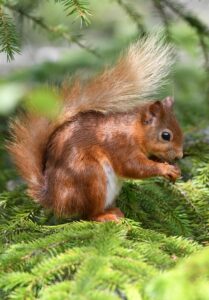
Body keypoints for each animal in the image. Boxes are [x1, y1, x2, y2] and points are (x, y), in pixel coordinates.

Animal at [7, 35, 183, 223]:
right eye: (166, 135)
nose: (180, 155)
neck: (134, 131)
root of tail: (55, 200)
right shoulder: (120, 145)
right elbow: (133, 167)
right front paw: (164, 169)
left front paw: (172, 168)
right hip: (91, 177)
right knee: (88, 214)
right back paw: (106, 215)